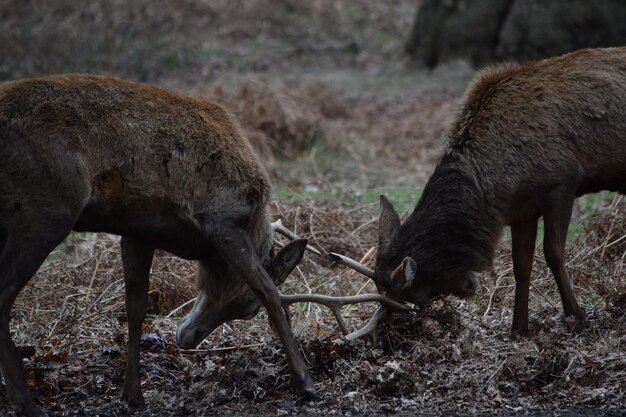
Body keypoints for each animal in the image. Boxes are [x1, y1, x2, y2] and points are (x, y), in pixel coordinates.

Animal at [0, 73, 314, 414]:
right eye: (247, 309)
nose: (187, 338)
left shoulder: (139, 230)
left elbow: (136, 307)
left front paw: (132, 395)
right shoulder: (221, 218)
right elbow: (269, 292)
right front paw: (305, 382)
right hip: (44, 209)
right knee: (3, 296)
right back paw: (26, 403)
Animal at [330, 47, 620, 336]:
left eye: (416, 296)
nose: (469, 287)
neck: (497, 187)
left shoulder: (561, 182)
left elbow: (554, 253)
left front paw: (577, 318)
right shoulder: (522, 209)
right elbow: (521, 265)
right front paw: (518, 330)